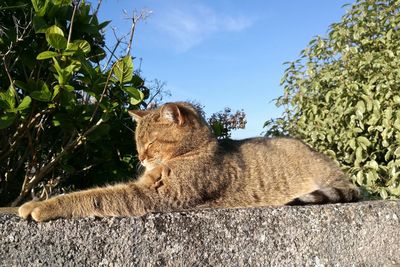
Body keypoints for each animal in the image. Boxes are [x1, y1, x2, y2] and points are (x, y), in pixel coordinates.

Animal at [18, 102, 360, 222]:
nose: (140, 157)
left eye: (150, 143)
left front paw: (41, 206)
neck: (197, 150)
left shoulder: (153, 194)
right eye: (137, 144)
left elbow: (93, 196)